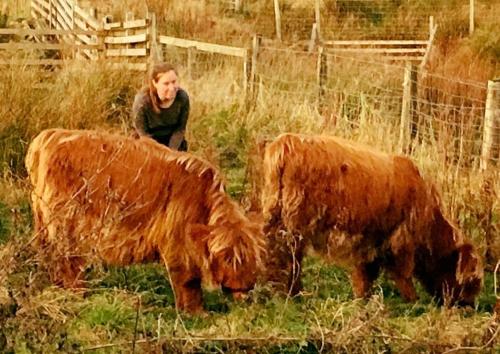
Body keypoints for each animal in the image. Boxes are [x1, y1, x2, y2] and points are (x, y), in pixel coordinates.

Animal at [24, 129, 266, 314]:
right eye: (229, 257)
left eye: (252, 257)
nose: (247, 286)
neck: (203, 202)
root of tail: (46, 137)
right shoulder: (177, 245)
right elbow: (188, 281)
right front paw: (195, 313)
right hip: (67, 223)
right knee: (67, 260)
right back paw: (77, 294)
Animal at [262, 134, 484, 306]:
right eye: (472, 282)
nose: (468, 306)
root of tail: (287, 142)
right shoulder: (402, 240)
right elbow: (402, 273)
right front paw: (413, 301)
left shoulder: (371, 241)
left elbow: (365, 274)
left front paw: (363, 299)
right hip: (295, 225)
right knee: (291, 258)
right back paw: (293, 293)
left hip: (276, 216)